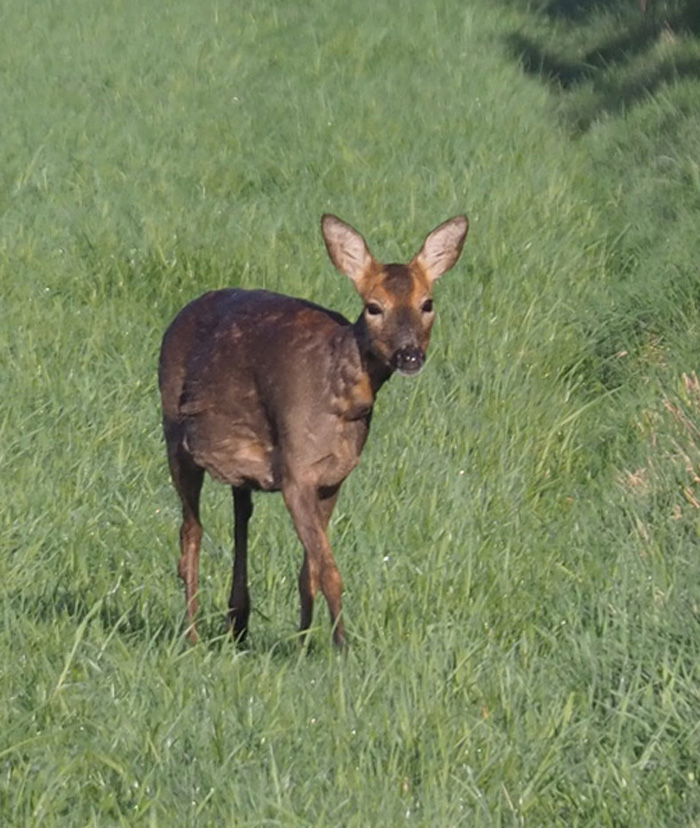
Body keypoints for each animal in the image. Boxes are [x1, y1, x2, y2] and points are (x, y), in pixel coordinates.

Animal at [156, 215, 468, 648]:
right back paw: (193, 637)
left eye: (428, 304)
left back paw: (238, 624)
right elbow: (330, 570)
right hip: (175, 436)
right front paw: (343, 647)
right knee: (190, 536)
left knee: (240, 513)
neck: (342, 394)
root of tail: (177, 317)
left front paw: (304, 643)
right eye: (374, 306)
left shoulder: (333, 477)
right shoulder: (296, 473)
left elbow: (311, 571)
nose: (409, 355)